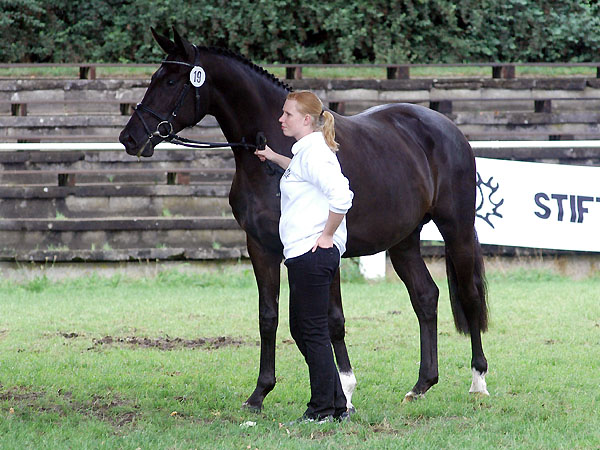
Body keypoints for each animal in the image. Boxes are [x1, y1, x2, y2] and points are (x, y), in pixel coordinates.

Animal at [119, 28, 490, 412]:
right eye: (154, 78)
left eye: (171, 80)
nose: (130, 137)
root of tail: (448, 129)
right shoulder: (262, 248)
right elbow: (269, 316)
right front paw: (260, 393)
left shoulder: (324, 249)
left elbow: (332, 320)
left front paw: (346, 391)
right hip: (403, 241)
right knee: (425, 297)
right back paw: (421, 384)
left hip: (457, 231)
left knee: (469, 295)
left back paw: (478, 380)